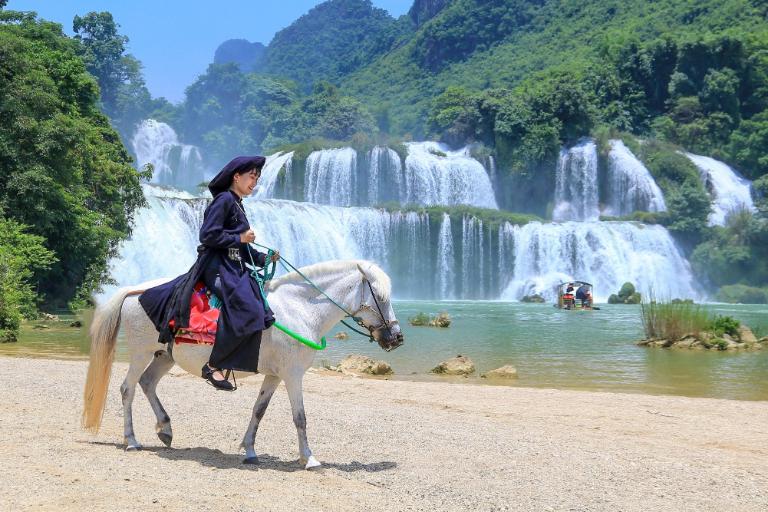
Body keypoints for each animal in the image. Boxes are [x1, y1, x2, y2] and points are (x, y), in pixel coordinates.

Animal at [83, 260, 404, 468]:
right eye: (381, 297)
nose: (397, 337)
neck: (299, 309)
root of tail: (135, 291)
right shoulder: (293, 375)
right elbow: (300, 417)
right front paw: (309, 458)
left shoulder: (274, 376)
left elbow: (259, 410)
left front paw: (249, 450)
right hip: (141, 353)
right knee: (127, 389)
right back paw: (132, 440)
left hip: (165, 356)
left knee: (147, 383)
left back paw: (165, 429)